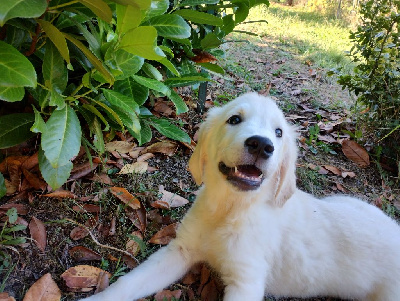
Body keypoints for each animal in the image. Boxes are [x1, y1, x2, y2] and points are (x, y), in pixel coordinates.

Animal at [80, 92, 400, 298]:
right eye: (234, 119)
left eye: (279, 133)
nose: (262, 145)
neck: (230, 209)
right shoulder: (180, 250)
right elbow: (127, 285)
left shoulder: (246, 281)